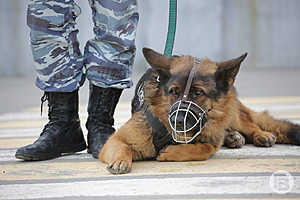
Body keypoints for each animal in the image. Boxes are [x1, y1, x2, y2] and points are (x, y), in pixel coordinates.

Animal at [99, 47, 300, 174]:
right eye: (174, 92)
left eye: (198, 93)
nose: (179, 121)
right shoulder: (114, 140)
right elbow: (122, 147)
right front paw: (120, 161)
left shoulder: (210, 141)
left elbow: (204, 148)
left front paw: (171, 153)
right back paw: (233, 137)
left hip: (231, 112)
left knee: (248, 123)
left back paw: (260, 135)